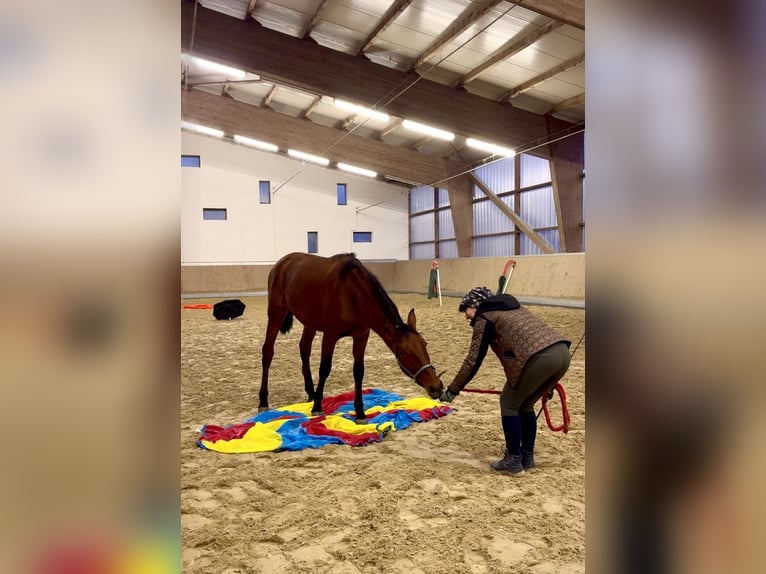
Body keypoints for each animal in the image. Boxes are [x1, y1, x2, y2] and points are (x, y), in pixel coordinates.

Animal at [259, 252, 444, 422]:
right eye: (402, 351)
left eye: (424, 344)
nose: (435, 386)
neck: (351, 292)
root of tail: (281, 263)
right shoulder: (330, 335)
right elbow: (324, 368)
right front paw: (318, 406)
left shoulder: (361, 336)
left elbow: (358, 371)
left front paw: (360, 412)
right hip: (276, 313)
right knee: (268, 352)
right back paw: (263, 400)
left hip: (309, 322)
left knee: (304, 349)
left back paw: (311, 393)